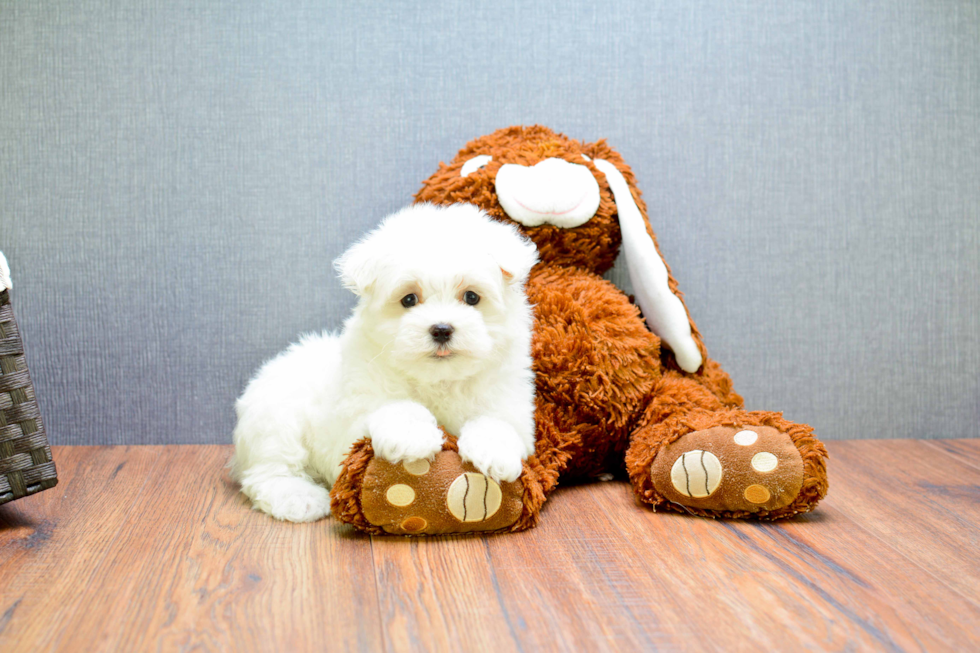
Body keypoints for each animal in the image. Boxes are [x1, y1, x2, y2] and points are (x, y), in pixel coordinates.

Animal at [230, 201, 540, 524]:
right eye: (409, 299)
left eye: (471, 297)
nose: (441, 329)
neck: (438, 379)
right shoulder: (354, 412)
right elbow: (392, 408)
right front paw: (412, 435)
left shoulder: (511, 402)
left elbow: (498, 422)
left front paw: (494, 451)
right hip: (275, 419)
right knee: (269, 470)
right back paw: (298, 498)